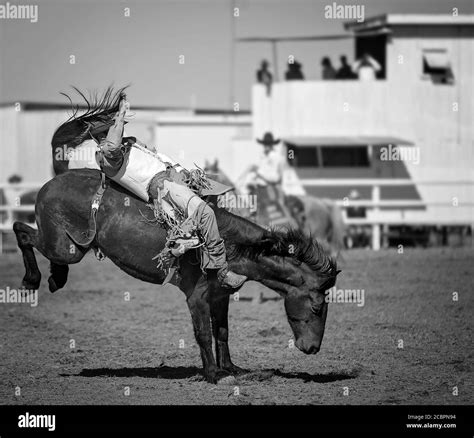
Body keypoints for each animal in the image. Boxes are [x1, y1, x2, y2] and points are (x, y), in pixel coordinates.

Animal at [13, 87, 340, 382]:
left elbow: (222, 332)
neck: (229, 245)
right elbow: (203, 333)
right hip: (62, 245)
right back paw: (34, 279)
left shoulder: (220, 297)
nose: (312, 348)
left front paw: (231, 369)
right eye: (317, 306)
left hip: (72, 246)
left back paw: (56, 277)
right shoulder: (197, 297)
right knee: (22, 231)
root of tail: (58, 178)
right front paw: (214, 375)